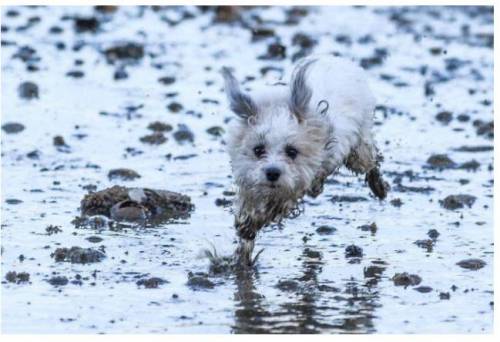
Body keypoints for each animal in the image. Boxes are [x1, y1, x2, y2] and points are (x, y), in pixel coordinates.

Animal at [223, 54, 390, 266]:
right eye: (258, 150)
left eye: (292, 151)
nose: (272, 172)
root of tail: (337, 59)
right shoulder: (248, 180)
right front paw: (245, 238)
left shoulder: (297, 182)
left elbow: (279, 203)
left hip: (359, 150)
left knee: (371, 161)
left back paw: (378, 186)